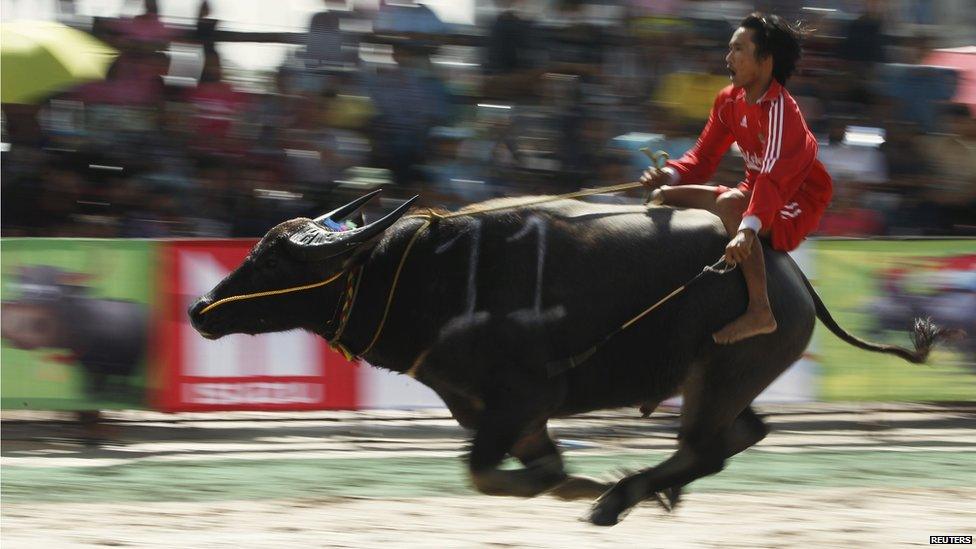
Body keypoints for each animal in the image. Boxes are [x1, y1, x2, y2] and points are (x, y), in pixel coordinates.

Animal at [187, 191, 948, 524]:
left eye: (275, 259)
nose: (200, 309)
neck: (434, 279)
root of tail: (784, 268)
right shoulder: (504, 414)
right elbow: (533, 469)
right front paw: (569, 482)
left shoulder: (518, 403)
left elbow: (485, 474)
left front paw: (581, 487)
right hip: (721, 381)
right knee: (738, 435)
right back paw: (642, 491)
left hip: (723, 374)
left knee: (708, 444)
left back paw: (617, 498)